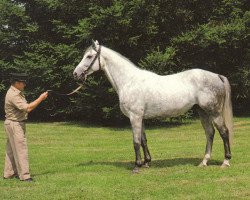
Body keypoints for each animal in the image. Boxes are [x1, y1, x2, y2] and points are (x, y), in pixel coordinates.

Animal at [73, 41, 233, 173]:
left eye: (89, 56)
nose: (75, 74)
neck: (129, 81)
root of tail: (216, 76)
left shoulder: (135, 117)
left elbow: (136, 142)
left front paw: (136, 166)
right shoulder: (141, 117)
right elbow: (143, 140)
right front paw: (146, 163)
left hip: (214, 112)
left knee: (224, 132)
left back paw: (225, 161)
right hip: (203, 112)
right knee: (210, 133)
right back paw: (204, 162)